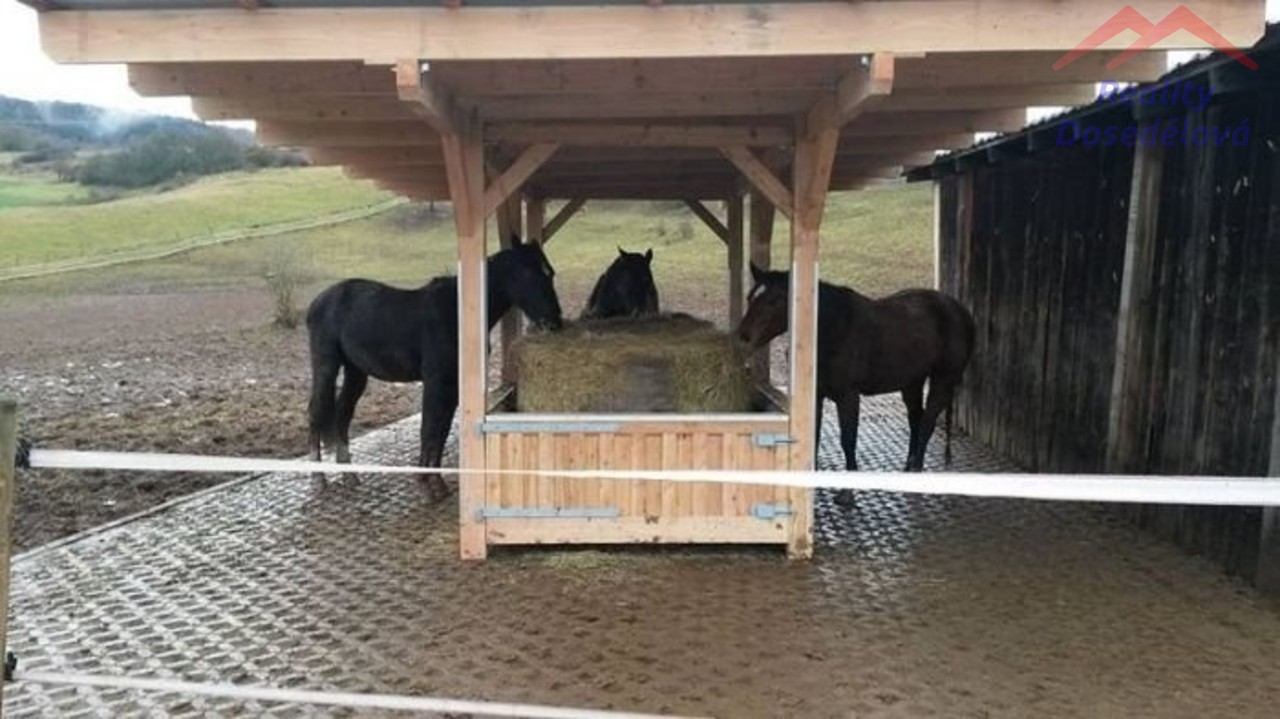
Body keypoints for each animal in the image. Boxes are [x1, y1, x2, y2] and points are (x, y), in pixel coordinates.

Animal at [305, 236, 564, 500]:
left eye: (550, 272)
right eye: (530, 273)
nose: (554, 321)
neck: (455, 313)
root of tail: (318, 301)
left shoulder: (452, 385)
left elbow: (442, 430)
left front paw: (437, 483)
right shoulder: (435, 382)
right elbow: (429, 428)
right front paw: (425, 487)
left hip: (356, 372)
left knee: (343, 412)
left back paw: (348, 474)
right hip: (326, 366)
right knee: (316, 411)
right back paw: (318, 478)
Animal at [736, 263, 975, 504]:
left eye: (773, 300)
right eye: (750, 297)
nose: (743, 336)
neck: (833, 330)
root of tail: (959, 310)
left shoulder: (848, 397)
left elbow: (848, 439)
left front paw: (847, 492)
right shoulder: (817, 395)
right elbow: (815, 436)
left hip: (943, 380)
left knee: (927, 423)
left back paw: (916, 471)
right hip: (912, 383)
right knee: (916, 419)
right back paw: (909, 467)